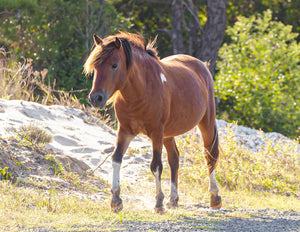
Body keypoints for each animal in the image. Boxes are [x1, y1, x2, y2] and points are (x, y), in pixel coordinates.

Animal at [83, 31, 221, 213]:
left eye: (114, 65)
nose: (95, 98)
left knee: (209, 155)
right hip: (168, 134)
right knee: (174, 159)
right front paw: (116, 201)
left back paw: (214, 198)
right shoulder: (125, 131)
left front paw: (158, 203)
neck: (141, 91)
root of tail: (201, 65)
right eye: (95, 66)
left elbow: (156, 165)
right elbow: (116, 158)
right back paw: (173, 200)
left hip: (205, 122)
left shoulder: (156, 133)